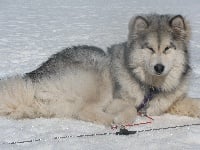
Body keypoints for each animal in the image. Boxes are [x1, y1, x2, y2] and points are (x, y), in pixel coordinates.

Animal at [0, 13, 200, 125]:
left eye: (167, 48)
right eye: (150, 48)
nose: (159, 67)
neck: (150, 86)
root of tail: (35, 79)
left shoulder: (170, 102)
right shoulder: (117, 100)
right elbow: (131, 108)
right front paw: (122, 118)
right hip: (100, 72)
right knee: (84, 110)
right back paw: (111, 121)